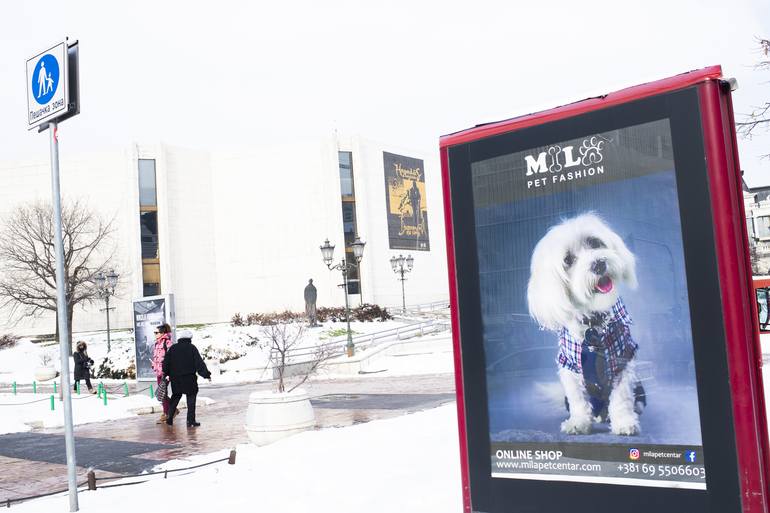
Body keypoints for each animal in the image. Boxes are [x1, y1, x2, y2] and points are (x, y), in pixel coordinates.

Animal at [524, 214, 640, 434]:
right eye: (568, 260)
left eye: (595, 243)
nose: (598, 264)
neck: (593, 321)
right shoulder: (569, 364)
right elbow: (577, 398)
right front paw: (578, 422)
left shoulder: (621, 358)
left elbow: (621, 396)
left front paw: (624, 422)